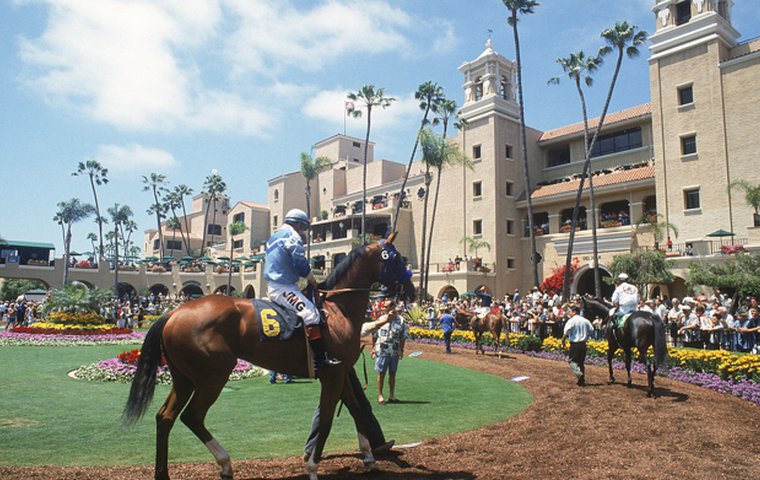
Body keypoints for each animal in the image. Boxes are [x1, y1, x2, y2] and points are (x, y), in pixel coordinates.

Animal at [122, 233, 416, 480]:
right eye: (397, 258)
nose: (411, 290)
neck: (337, 310)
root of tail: (172, 313)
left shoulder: (340, 372)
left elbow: (355, 410)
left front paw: (368, 456)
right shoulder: (332, 374)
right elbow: (327, 419)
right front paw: (313, 466)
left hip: (184, 378)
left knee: (165, 417)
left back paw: (164, 473)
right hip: (213, 376)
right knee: (192, 417)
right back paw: (225, 463)